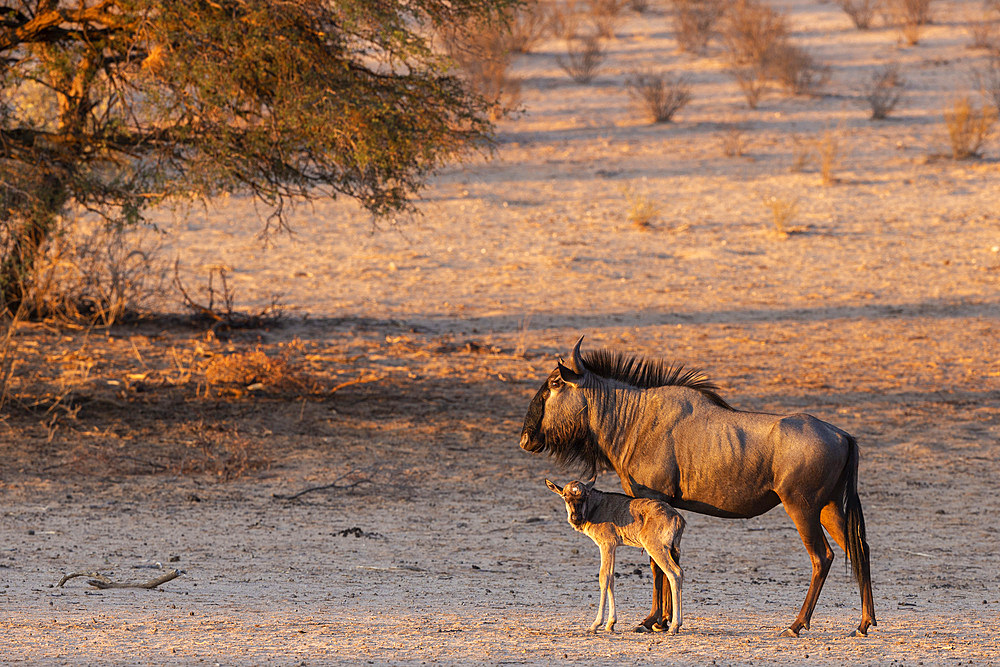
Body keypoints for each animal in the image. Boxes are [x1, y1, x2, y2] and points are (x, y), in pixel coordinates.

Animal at [552, 480, 684, 636]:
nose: (576, 518)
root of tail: (677, 518)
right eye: (565, 497)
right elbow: (611, 578)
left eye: (584, 496)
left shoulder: (606, 545)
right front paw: (611, 623)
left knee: (675, 573)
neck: (596, 506)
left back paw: (675, 625)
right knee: (678, 573)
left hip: (657, 548)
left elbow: (604, 578)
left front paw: (596, 624)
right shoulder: (613, 547)